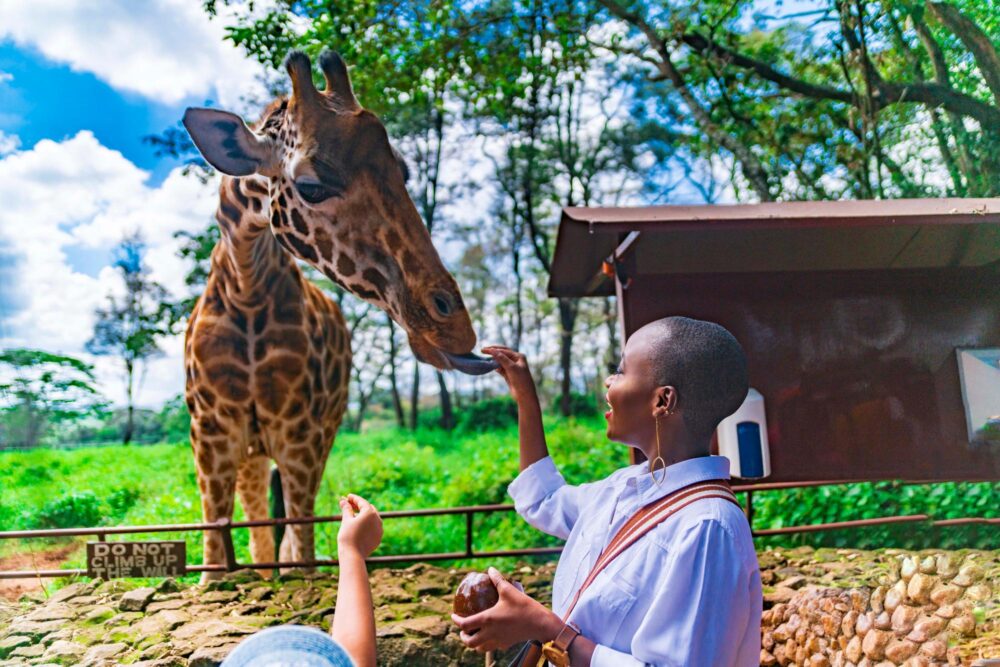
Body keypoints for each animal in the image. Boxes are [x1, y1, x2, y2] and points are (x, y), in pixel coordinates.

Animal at [182, 51, 487, 580]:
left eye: (403, 172)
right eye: (310, 186)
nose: (454, 326)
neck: (246, 288)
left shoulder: (301, 432)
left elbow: (301, 551)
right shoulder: (212, 432)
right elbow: (216, 555)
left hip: (320, 432)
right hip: (252, 451)